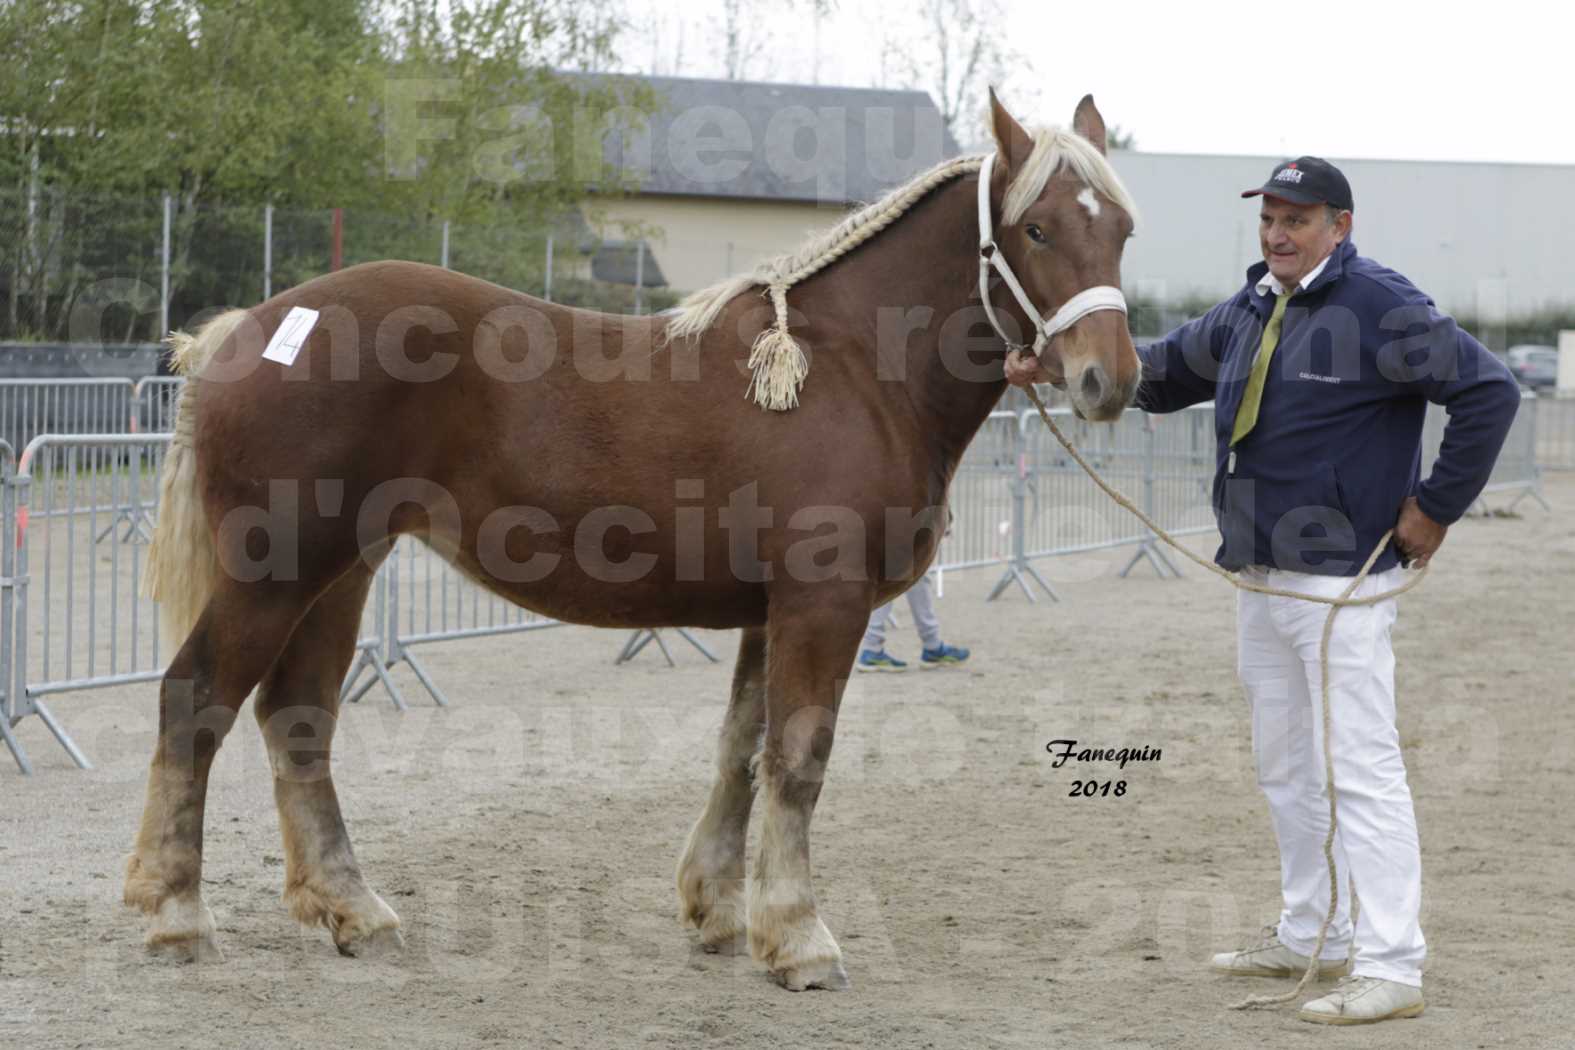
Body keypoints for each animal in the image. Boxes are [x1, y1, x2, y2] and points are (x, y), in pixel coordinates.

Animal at [122, 94, 1134, 988]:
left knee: (298, 719)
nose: (1109, 381)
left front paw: (720, 912)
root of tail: (242, 331)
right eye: (1036, 230)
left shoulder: (767, 614)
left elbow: (740, 751)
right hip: (277, 572)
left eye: (1121, 228)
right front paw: (799, 940)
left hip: (341, 574)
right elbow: (797, 760)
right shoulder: (824, 604)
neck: (852, 368)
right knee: (196, 700)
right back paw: (177, 916)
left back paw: (352, 912)